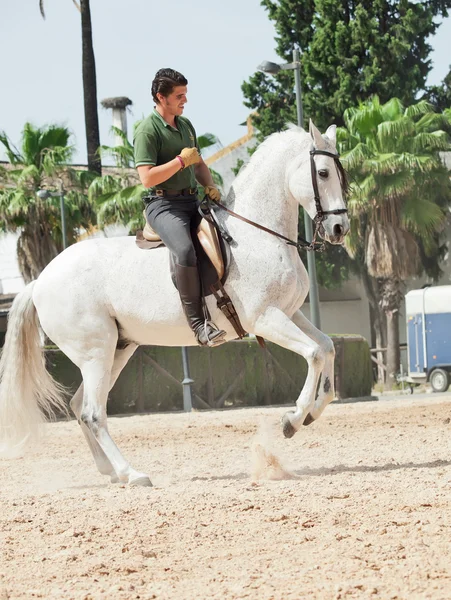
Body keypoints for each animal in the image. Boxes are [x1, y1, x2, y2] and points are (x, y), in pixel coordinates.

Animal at [0, 119, 350, 486]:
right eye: (323, 172)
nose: (340, 228)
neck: (257, 235)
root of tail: (40, 281)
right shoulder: (265, 318)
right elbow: (313, 354)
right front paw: (292, 420)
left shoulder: (290, 312)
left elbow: (327, 348)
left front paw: (313, 412)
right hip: (96, 352)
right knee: (93, 413)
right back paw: (132, 473)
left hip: (116, 350)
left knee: (80, 406)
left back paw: (110, 472)